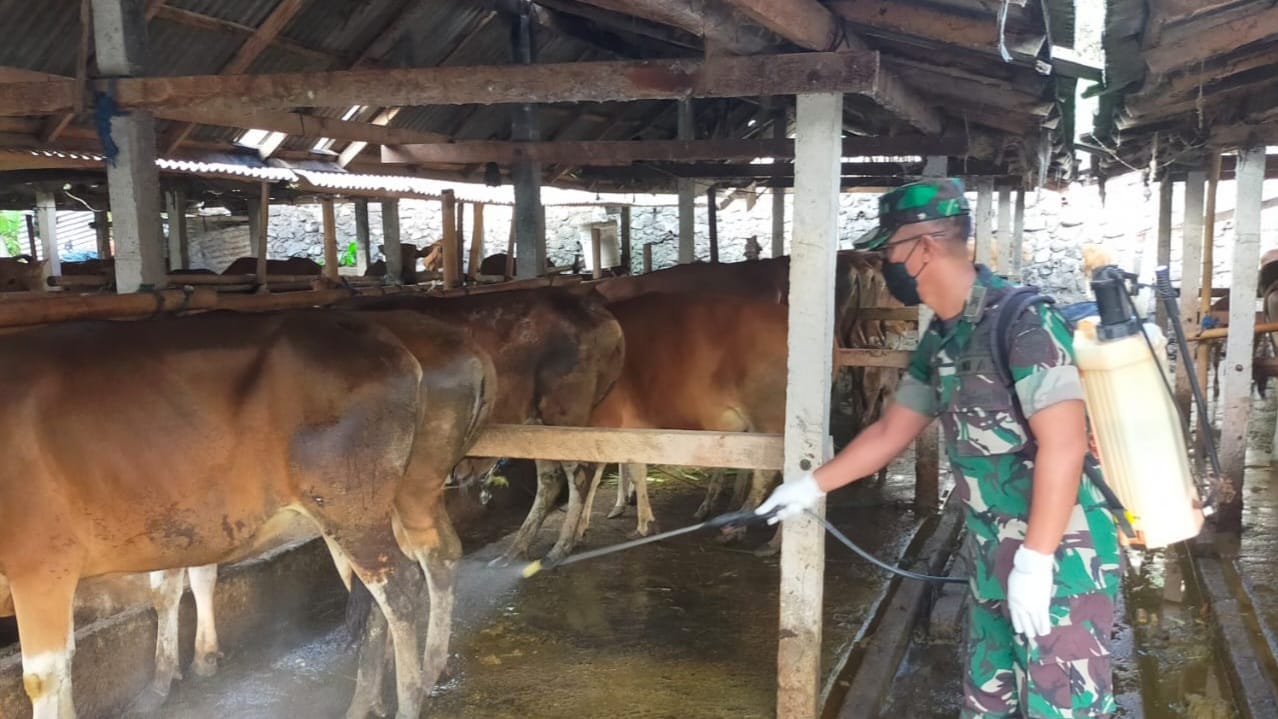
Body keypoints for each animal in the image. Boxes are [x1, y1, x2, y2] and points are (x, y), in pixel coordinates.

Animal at [0, 308, 494, 719]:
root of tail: (391, 346)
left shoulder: (41, 565)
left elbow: (44, 675)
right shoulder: (175, 524)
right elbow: (165, 592)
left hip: (361, 507)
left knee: (404, 590)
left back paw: (411, 696)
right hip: (389, 503)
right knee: (425, 564)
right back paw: (380, 694)